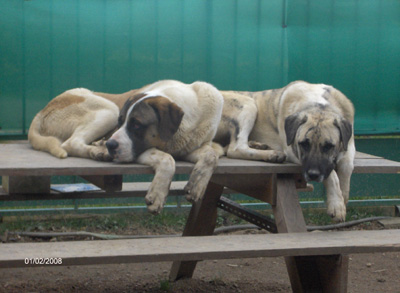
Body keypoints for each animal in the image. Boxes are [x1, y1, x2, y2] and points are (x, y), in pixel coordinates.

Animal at [216, 81, 356, 220]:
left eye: (328, 146)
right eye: (304, 144)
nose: (313, 174)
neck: (320, 105)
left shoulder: (349, 144)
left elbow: (347, 166)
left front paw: (343, 195)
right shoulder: (292, 151)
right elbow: (332, 175)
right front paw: (336, 204)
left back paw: (258, 145)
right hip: (248, 104)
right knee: (235, 148)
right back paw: (273, 155)